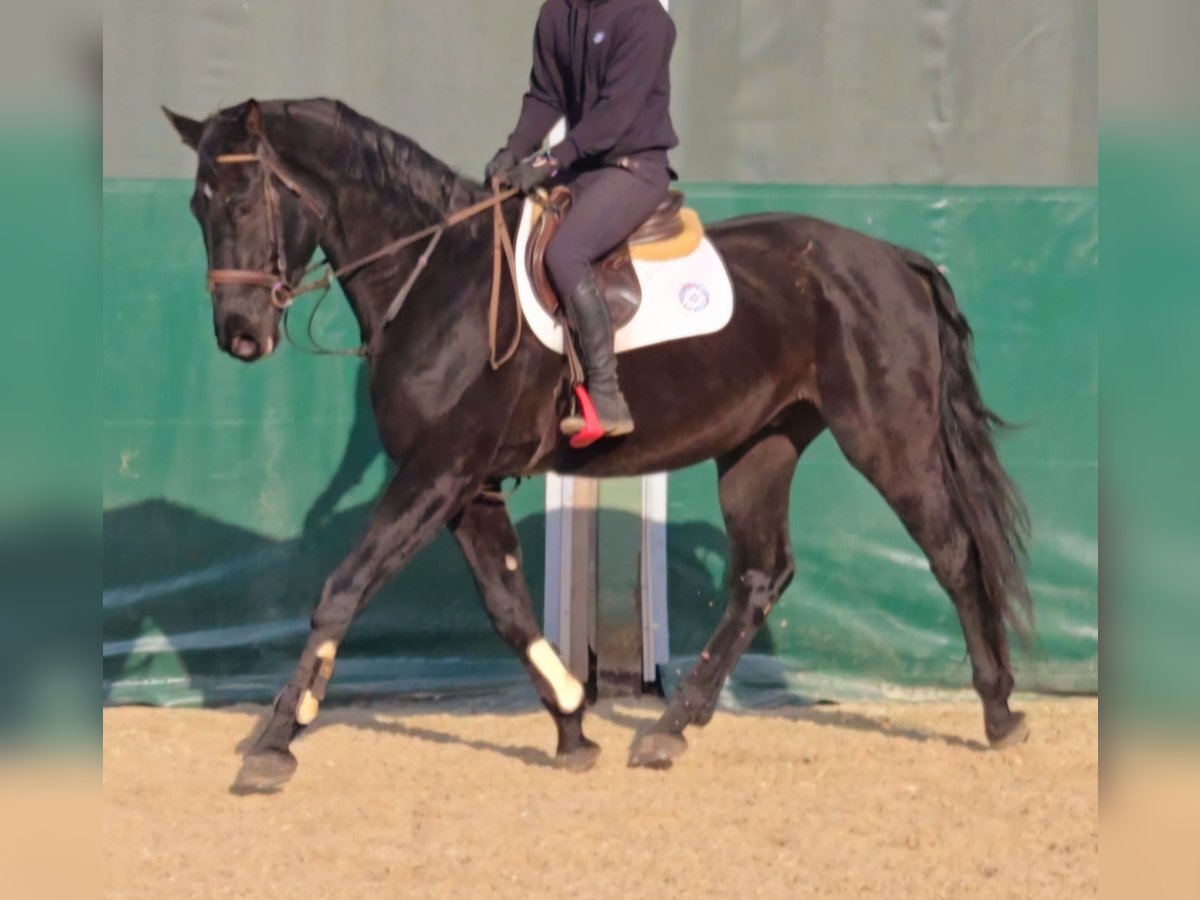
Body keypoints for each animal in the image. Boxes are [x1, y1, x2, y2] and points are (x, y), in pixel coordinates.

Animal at [164, 95, 1036, 792]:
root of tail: (895, 258)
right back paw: (668, 730)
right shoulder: (469, 485)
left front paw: (277, 741)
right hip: (760, 446)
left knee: (953, 553)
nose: (239, 336)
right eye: (197, 209)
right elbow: (509, 608)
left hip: (888, 437)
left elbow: (343, 589)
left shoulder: (438, 471)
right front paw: (574, 726)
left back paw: (1000, 713)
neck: (437, 277)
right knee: (761, 576)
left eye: (242, 201)